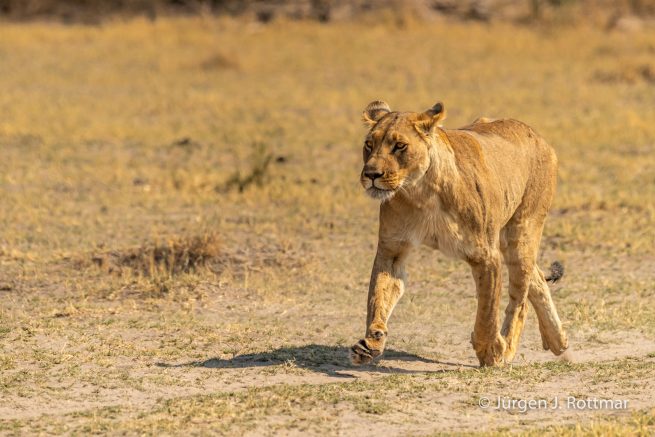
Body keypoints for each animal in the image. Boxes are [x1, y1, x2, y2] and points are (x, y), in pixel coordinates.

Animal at [350, 100, 569, 367]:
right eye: (369, 145)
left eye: (399, 145)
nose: (371, 174)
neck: (421, 191)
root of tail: (535, 134)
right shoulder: (392, 250)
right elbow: (378, 297)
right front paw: (371, 343)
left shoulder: (485, 255)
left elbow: (487, 312)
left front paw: (491, 351)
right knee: (536, 278)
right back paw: (557, 340)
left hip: (522, 231)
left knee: (520, 297)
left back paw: (510, 347)